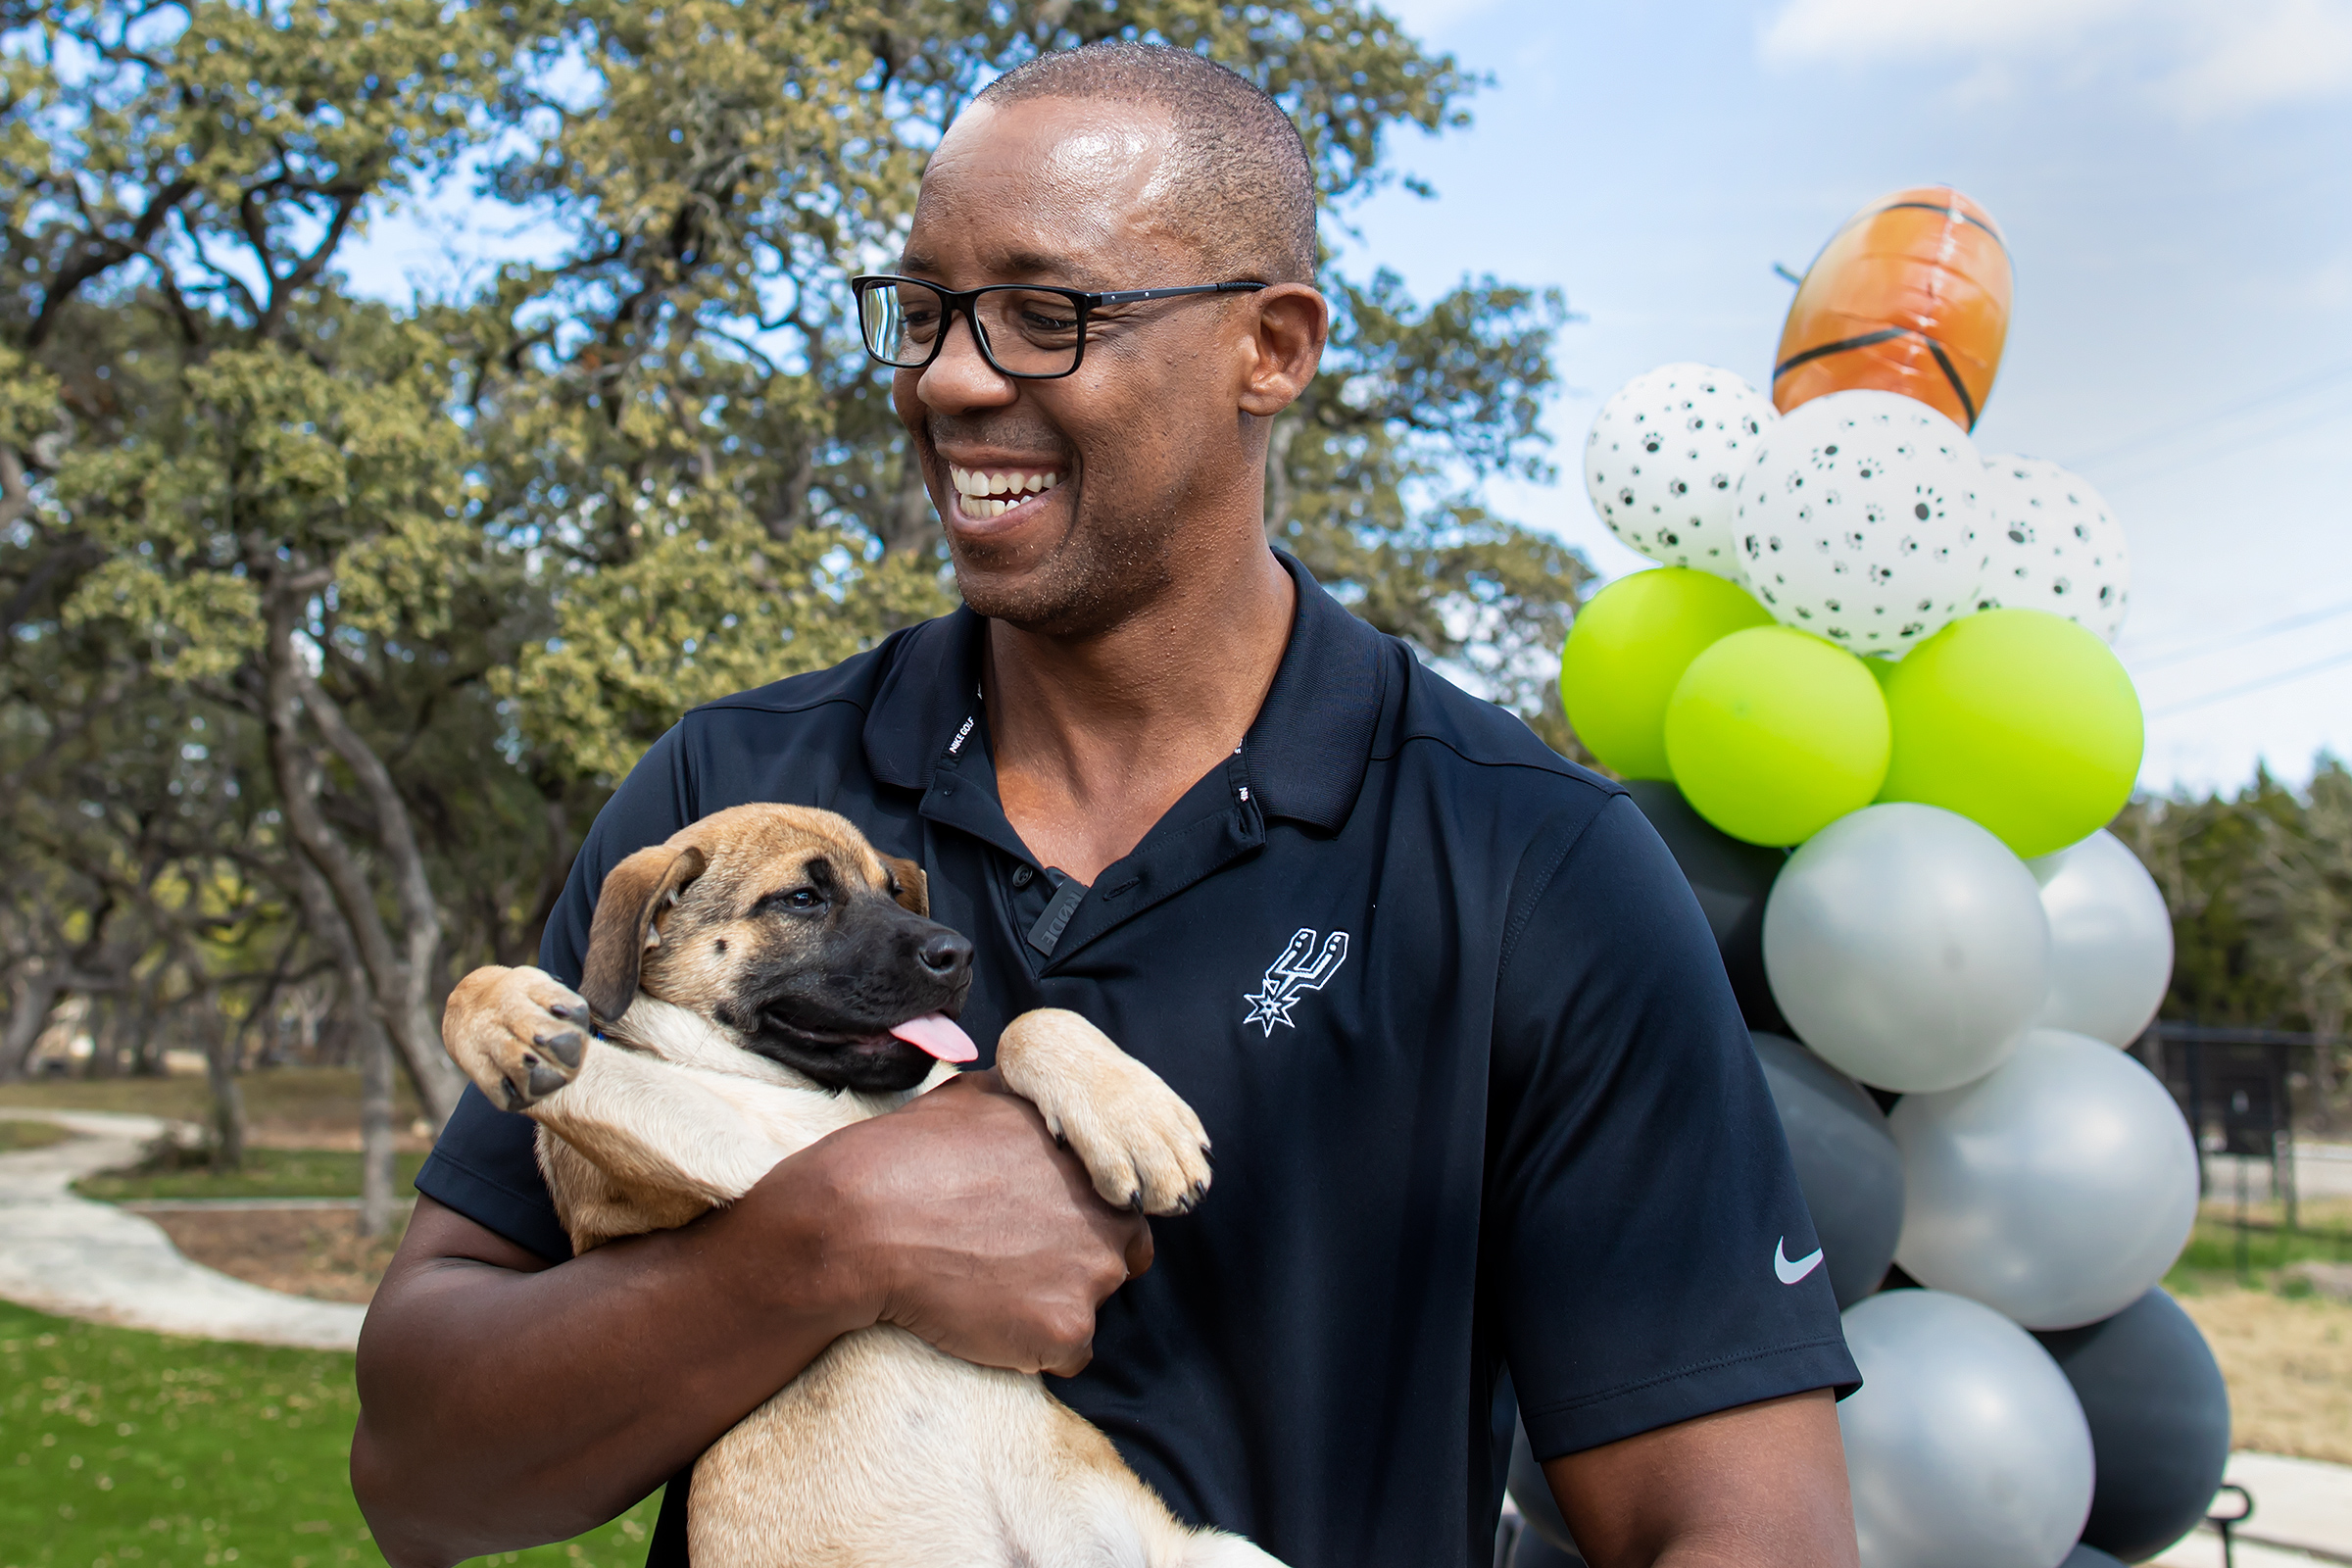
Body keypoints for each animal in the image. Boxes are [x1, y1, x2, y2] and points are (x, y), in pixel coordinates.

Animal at [442, 802, 1285, 1567]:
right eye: (801, 899)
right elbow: (511, 1020)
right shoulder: (709, 1144)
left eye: (892, 889)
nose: (960, 952)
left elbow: (1027, 1023)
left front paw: (1137, 1119)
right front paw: (504, 1018)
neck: (841, 1101)